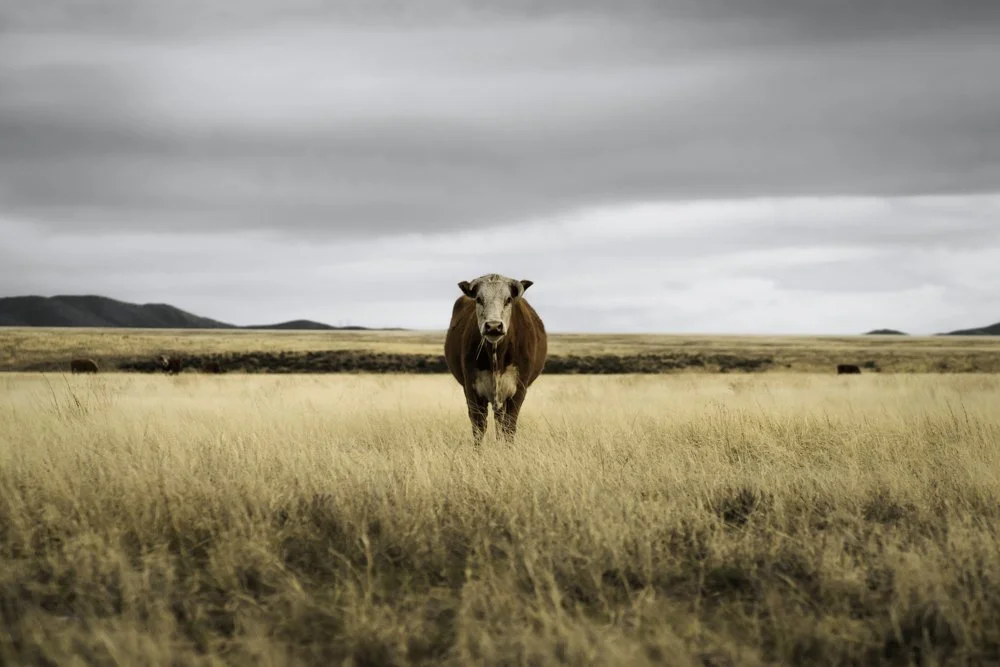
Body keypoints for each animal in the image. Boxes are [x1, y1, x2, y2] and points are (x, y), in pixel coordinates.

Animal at [444, 273, 547, 446]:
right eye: (479, 299)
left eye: (508, 299)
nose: (493, 326)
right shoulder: (472, 389)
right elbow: (478, 428)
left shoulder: (518, 390)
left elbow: (509, 427)